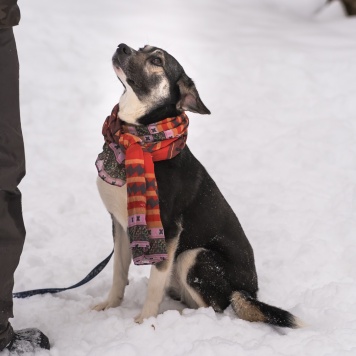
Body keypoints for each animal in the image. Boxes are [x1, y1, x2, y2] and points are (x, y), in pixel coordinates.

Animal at [93, 43, 302, 330]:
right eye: (142, 47)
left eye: (156, 60)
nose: (122, 46)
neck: (137, 139)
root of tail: (249, 292)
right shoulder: (120, 224)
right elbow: (118, 272)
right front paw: (109, 305)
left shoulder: (168, 229)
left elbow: (155, 282)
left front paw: (146, 320)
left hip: (194, 256)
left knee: (216, 307)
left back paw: (180, 316)